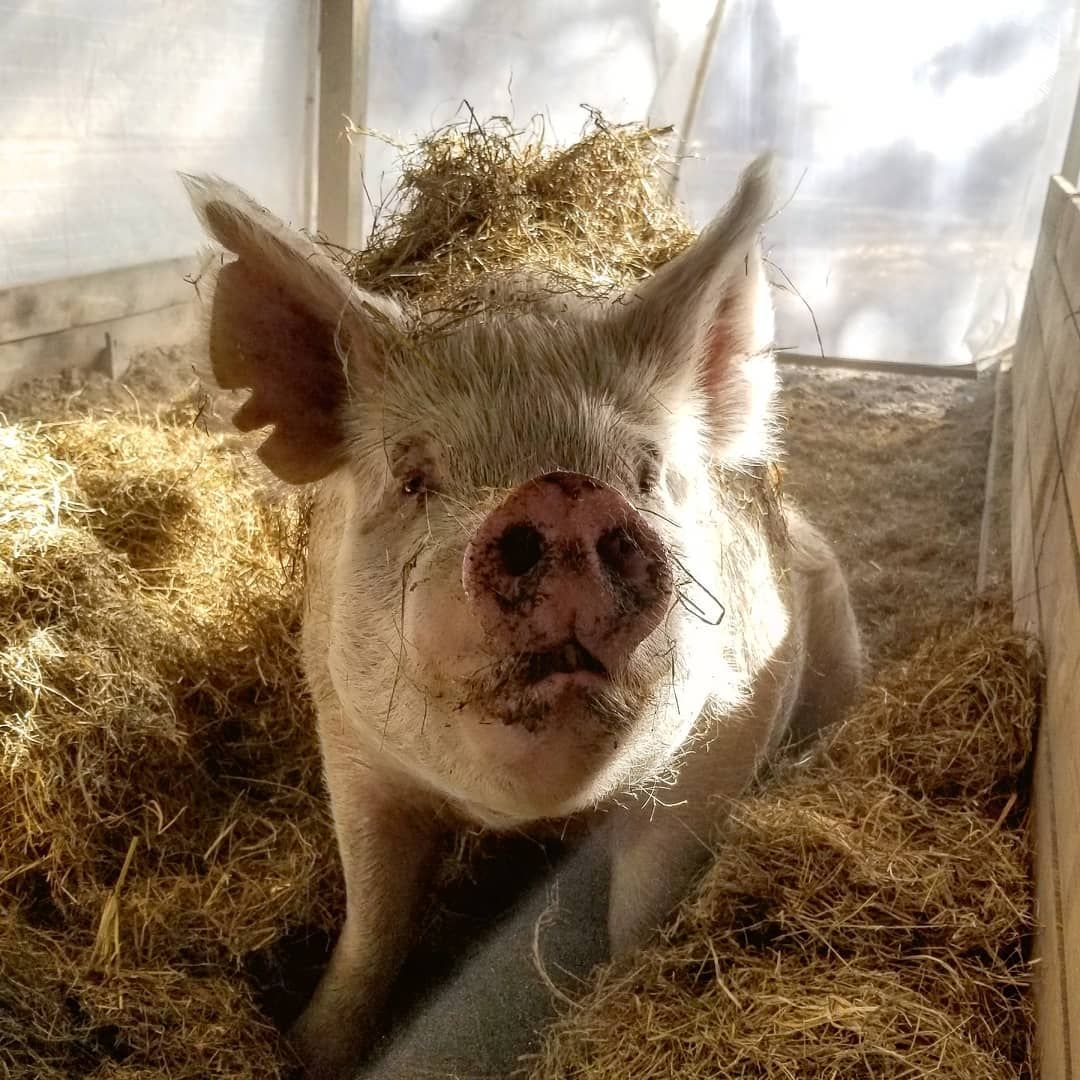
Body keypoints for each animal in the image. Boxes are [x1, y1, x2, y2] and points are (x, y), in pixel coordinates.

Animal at [183, 154, 862, 1079]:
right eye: (413, 477)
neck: (534, 813)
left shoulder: (729, 732)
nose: (564, 493)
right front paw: (307, 1048)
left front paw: (613, 1018)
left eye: (646, 473)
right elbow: (374, 918)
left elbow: (645, 907)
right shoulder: (347, 737)